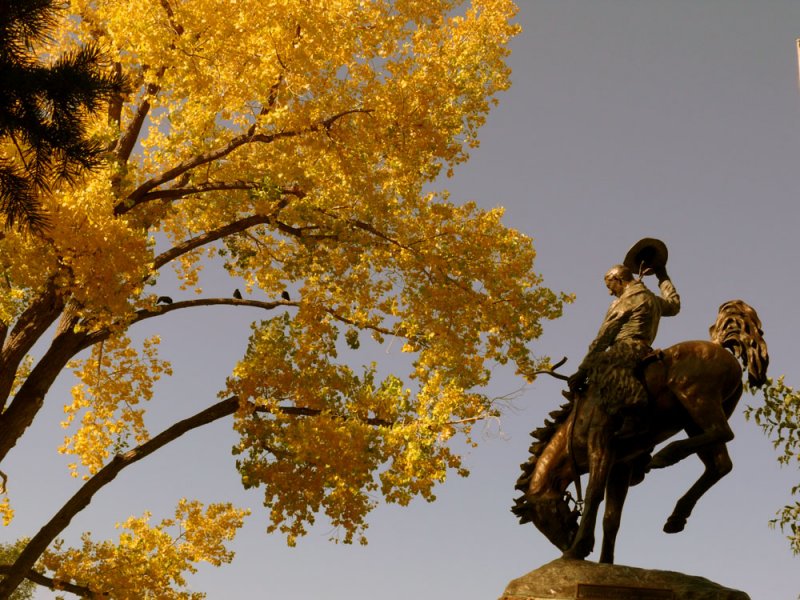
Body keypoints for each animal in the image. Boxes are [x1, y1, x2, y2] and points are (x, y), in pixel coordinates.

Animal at [512, 300, 768, 564]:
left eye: (545, 517)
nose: (565, 545)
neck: (575, 425)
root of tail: (717, 345)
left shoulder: (602, 447)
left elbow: (594, 495)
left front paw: (579, 548)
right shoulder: (621, 465)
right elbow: (612, 517)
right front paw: (605, 562)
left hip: (695, 397)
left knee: (723, 432)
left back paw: (666, 455)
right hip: (694, 420)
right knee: (720, 464)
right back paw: (676, 517)